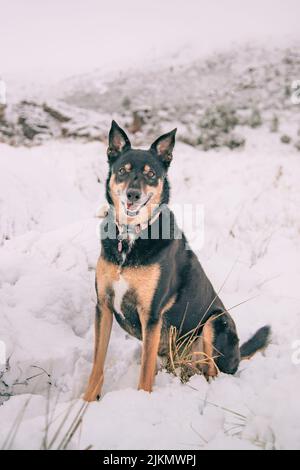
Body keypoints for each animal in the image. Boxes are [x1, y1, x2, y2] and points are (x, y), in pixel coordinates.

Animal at [83, 120, 270, 400]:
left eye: (151, 174)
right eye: (123, 171)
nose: (133, 195)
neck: (130, 237)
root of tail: (237, 355)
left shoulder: (151, 314)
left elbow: (145, 373)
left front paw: (142, 400)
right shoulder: (103, 306)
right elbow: (97, 364)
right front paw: (85, 401)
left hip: (216, 322)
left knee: (212, 371)